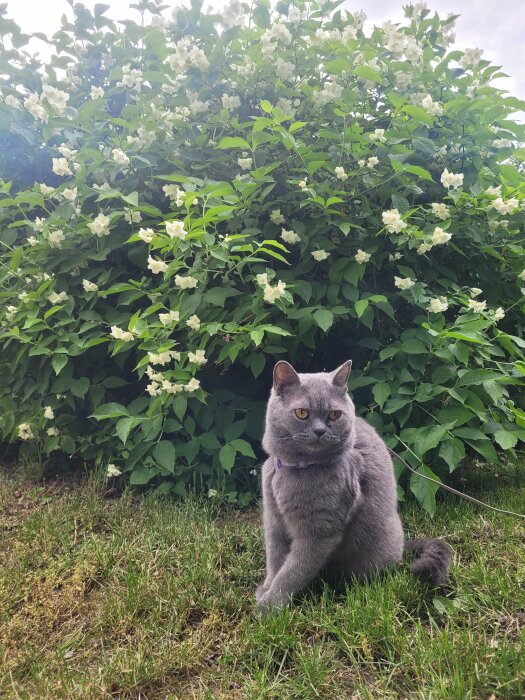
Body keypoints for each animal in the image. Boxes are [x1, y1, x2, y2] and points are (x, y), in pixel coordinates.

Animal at [255, 360, 450, 612]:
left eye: (335, 414)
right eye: (302, 413)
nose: (320, 431)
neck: (296, 468)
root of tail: (403, 545)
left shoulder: (319, 532)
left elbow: (293, 571)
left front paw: (270, 606)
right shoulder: (273, 520)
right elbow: (275, 559)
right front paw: (265, 589)